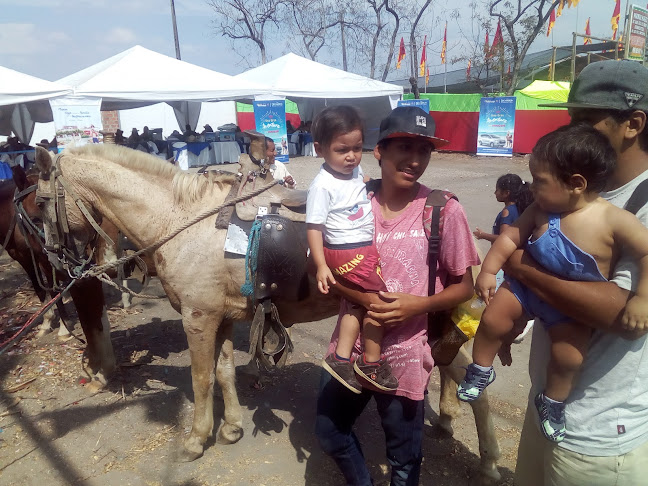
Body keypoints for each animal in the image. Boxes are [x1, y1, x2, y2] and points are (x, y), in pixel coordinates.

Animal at [33, 145, 502, 482]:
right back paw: (447, 420)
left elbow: (201, 379)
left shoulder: (198, 319)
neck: (182, 219)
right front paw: (230, 428)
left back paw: (489, 461)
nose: (52, 255)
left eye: (40, 203)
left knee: (472, 385)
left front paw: (196, 438)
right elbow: (224, 373)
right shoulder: (220, 318)